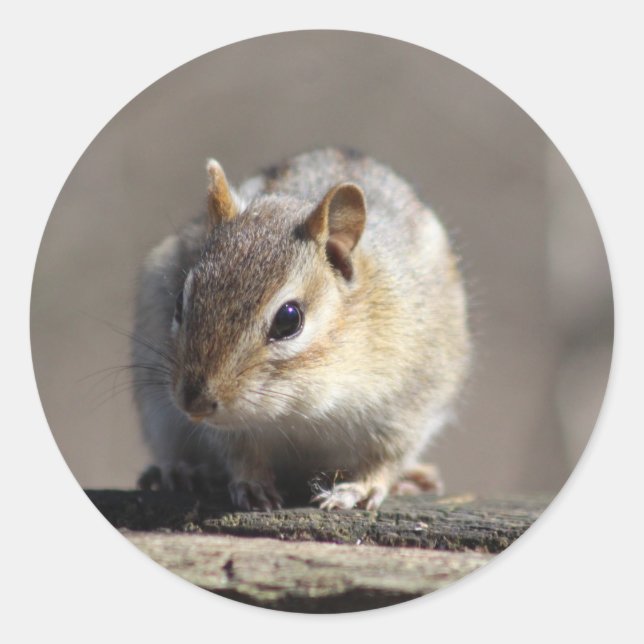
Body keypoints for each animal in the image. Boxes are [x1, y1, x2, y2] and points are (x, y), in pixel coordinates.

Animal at [132, 148, 470, 511]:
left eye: (288, 319)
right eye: (179, 302)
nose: (193, 403)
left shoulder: (408, 402)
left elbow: (386, 457)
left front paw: (359, 489)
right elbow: (238, 449)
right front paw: (251, 483)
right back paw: (181, 470)